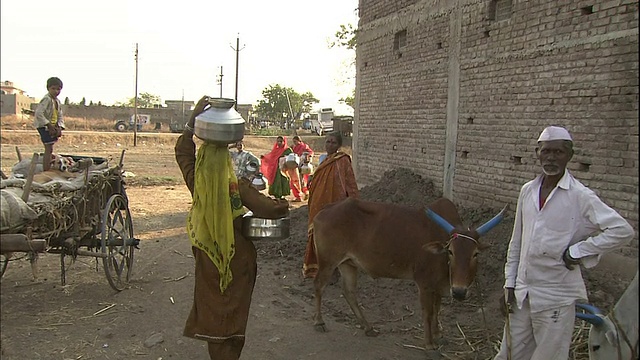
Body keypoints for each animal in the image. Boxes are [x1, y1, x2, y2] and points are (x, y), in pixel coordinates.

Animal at [312, 197, 508, 352]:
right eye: (450, 251)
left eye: (475, 253)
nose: (459, 292)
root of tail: (325, 209)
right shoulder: (425, 283)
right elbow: (428, 312)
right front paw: (429, 343)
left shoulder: (439, 285)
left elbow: (437, 308)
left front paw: (438, 333)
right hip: (328, 261)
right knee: (319, 285)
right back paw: (319, 322)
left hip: (348, 264)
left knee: (349, 292)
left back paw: (368, 327)